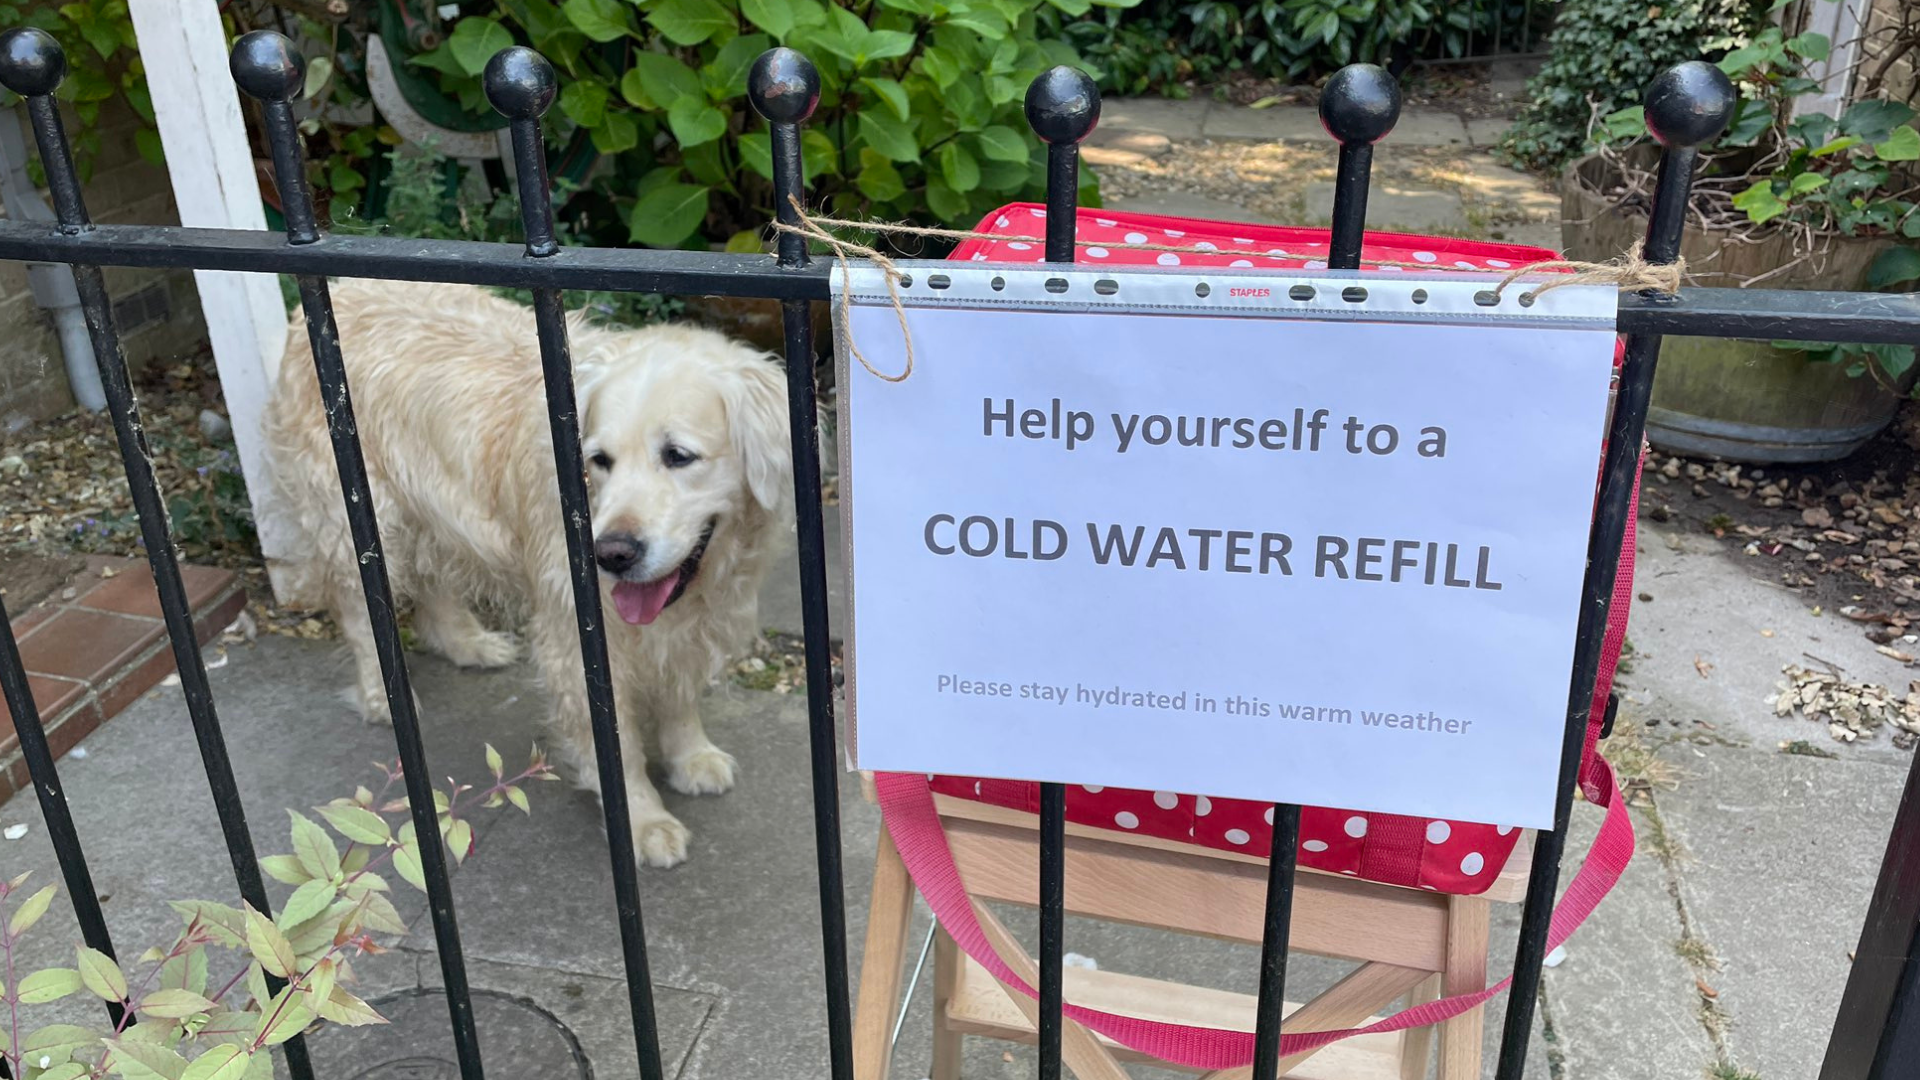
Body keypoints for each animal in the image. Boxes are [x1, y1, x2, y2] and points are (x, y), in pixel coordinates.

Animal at [261, 278, 787, 864]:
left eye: (678, 455)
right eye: (600, 460)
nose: (611, 554)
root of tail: (339, 289)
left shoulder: (688, 626)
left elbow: (678, 693)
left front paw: (691, 756)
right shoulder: (577, 640)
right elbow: (617, 748)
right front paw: (644, 821)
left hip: (431, 510)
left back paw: (469, 644)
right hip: (358, 519)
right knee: (360, 615)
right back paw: (382, 697)